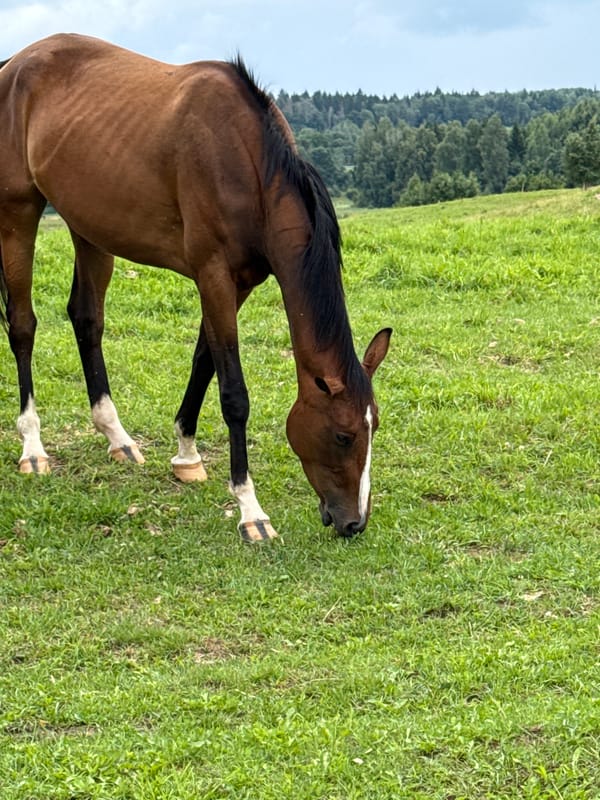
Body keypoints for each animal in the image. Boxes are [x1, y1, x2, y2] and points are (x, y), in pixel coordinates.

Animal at [0, 34, 391, 541]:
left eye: (374, 428)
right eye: (344, 435)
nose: (353, 522)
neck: (248, 163)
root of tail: (15, 63)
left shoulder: (239, 284)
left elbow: (205, 360)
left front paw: (186, 455)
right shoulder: (213, 276)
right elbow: (234, 394)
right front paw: (250, 510)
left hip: (89, 227)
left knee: (86, 319)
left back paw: (117, 437)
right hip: (18, 212)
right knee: (22, 325)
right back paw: (33, 447)